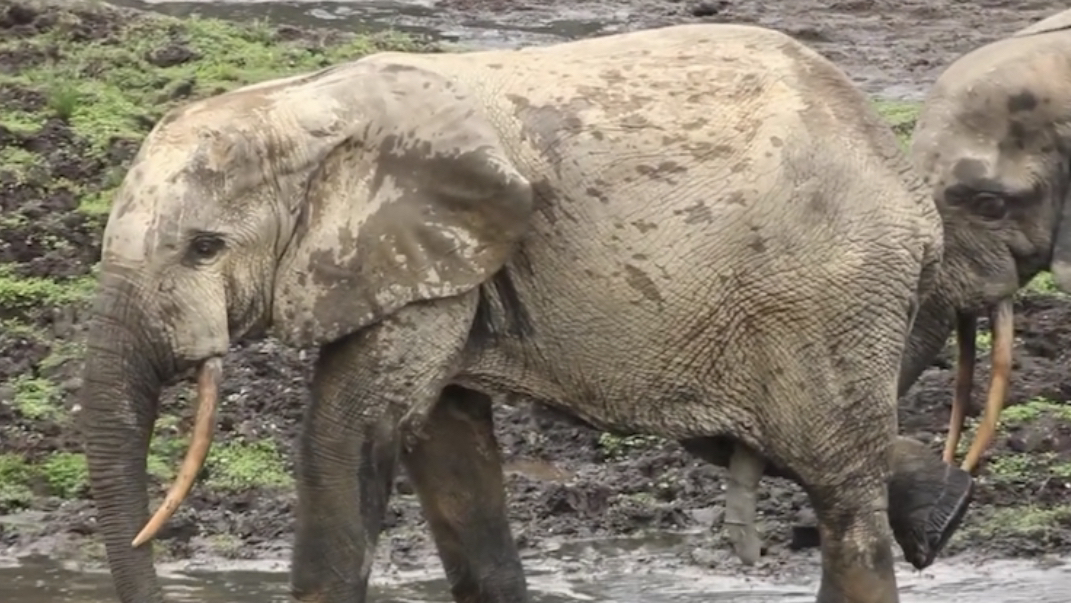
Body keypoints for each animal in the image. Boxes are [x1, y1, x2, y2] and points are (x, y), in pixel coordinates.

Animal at [79, 22, 978, 603]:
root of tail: (900, 175)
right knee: (772, 445)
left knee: (835, 488)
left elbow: (344, 436)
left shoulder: (417, 251)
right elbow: (444, 447)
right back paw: (942, 510)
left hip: (827, 290)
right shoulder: (433, 264)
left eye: (203, 248)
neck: (303, 106)